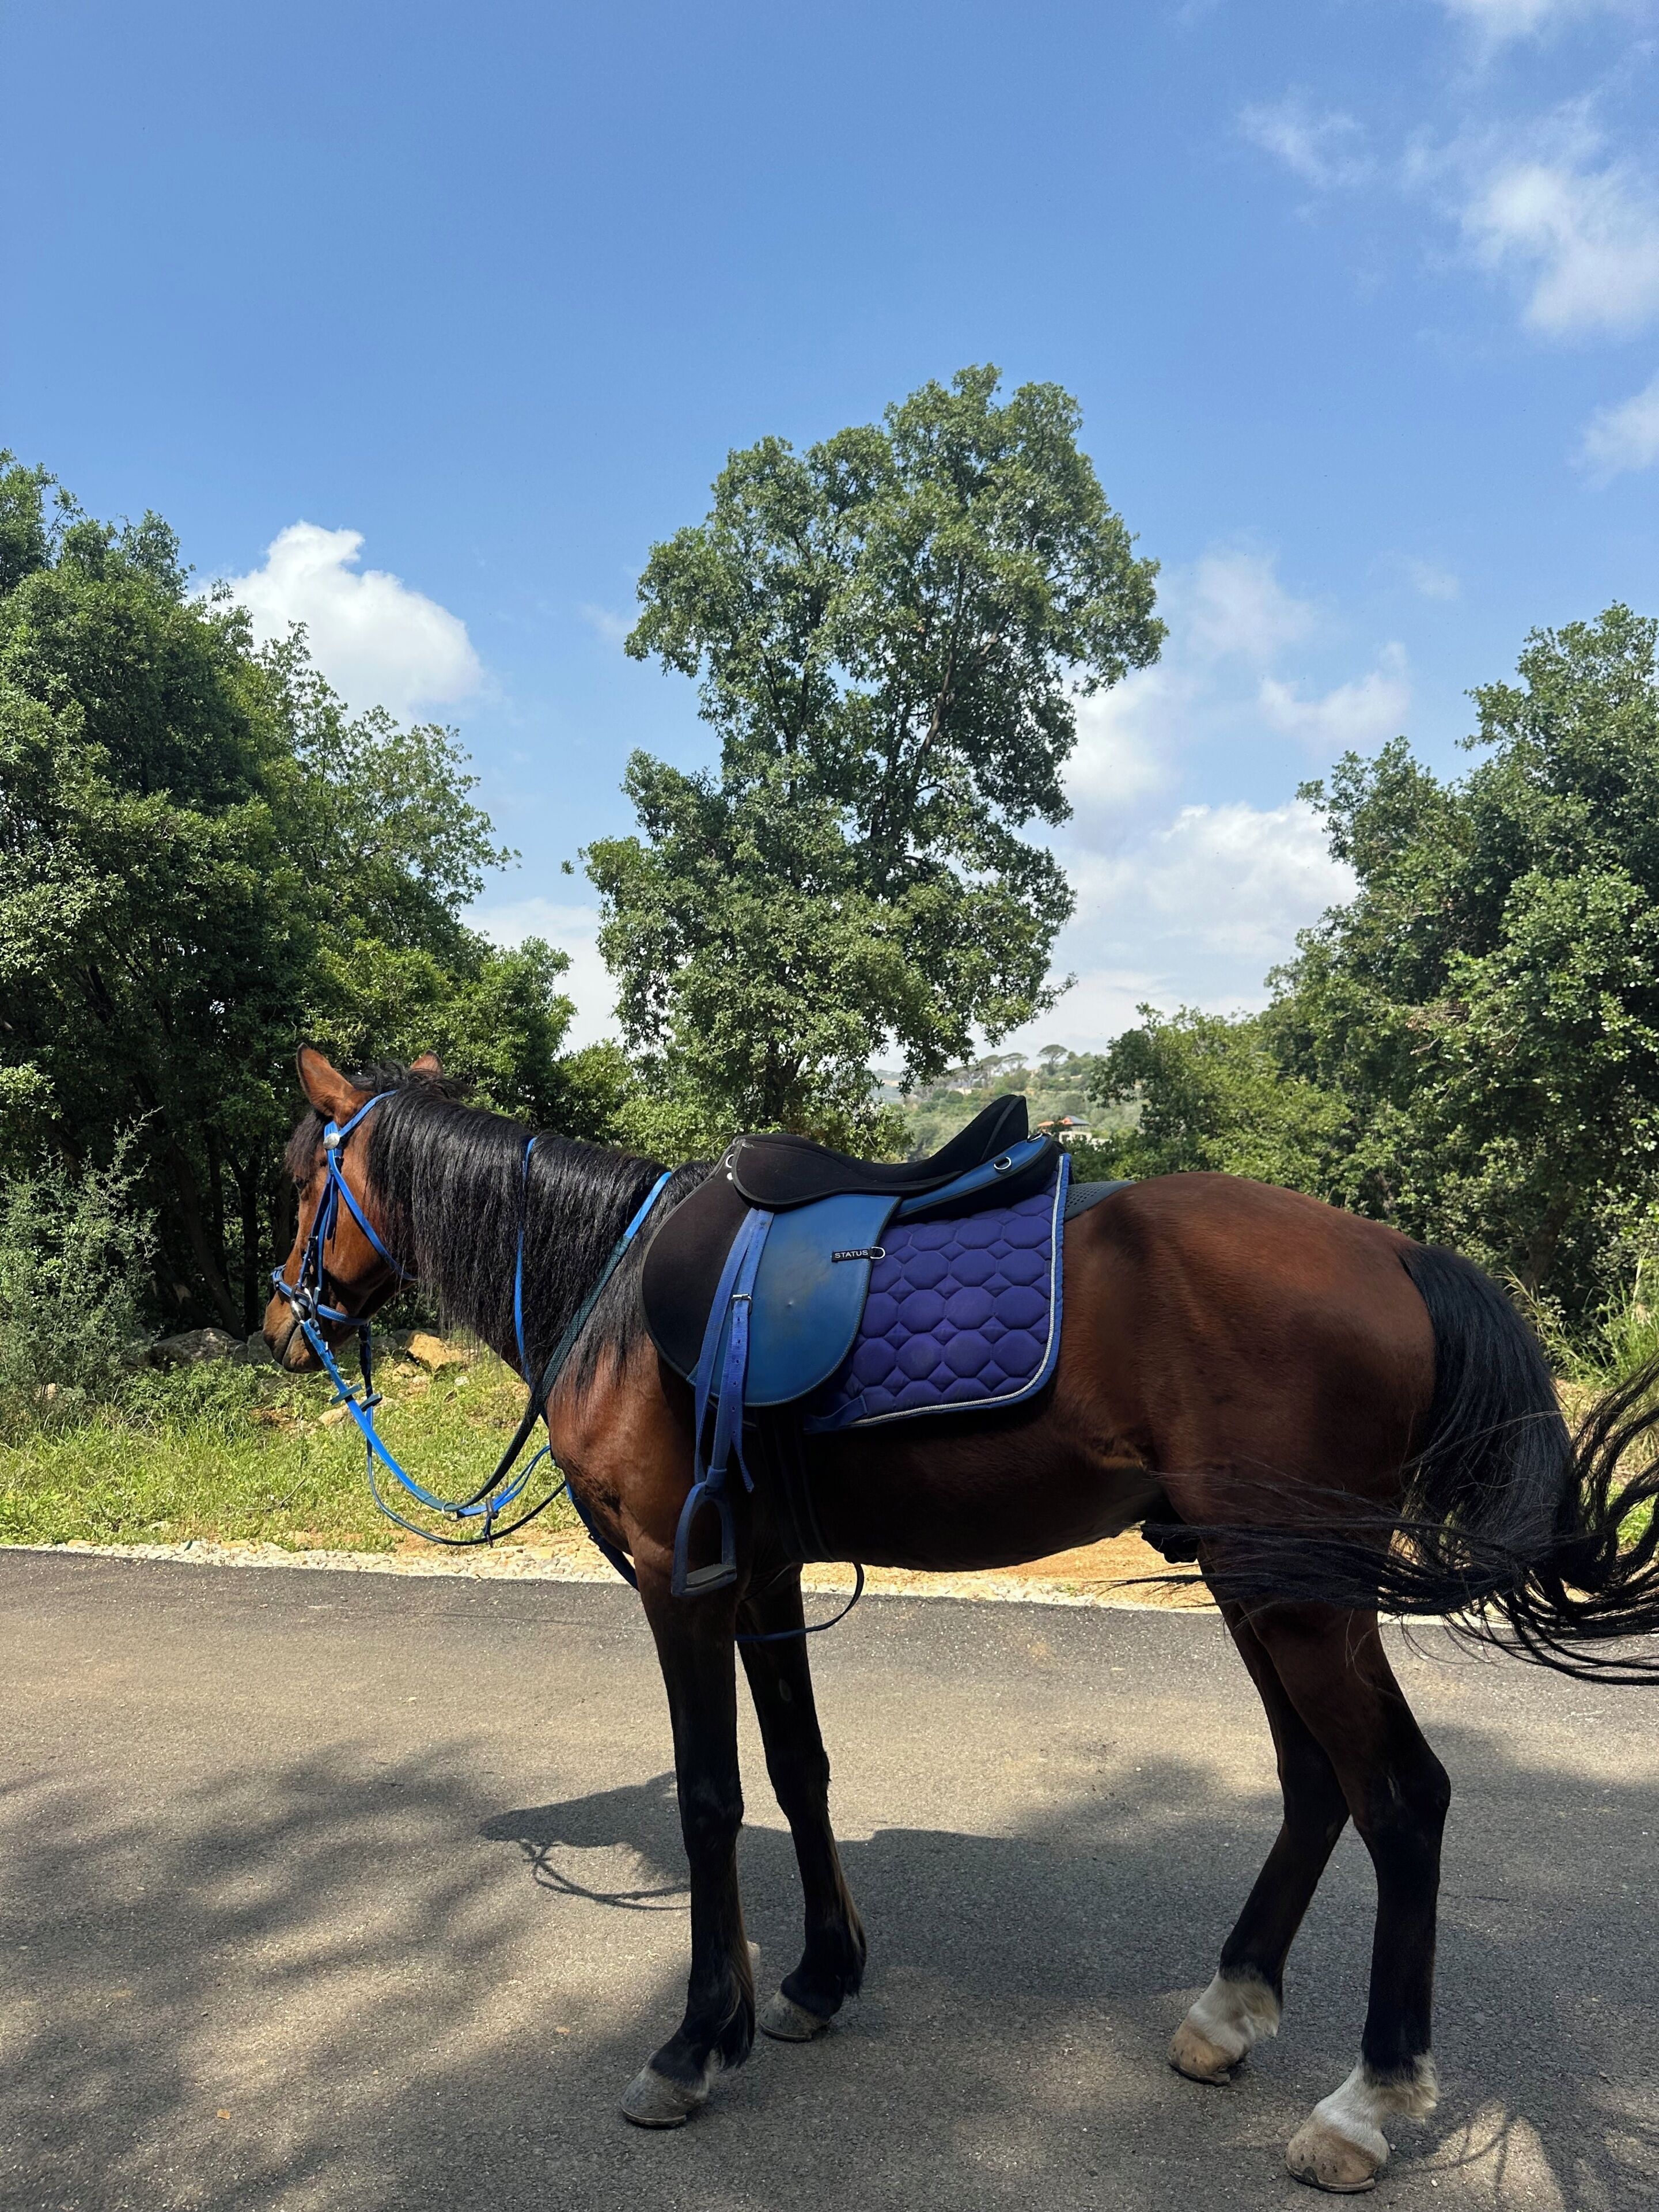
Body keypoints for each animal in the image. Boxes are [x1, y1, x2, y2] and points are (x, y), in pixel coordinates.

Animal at [264, 1046, 1659, 2193]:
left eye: (296, 1176)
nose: (283, 1321)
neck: (612, 1300)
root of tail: (1394, 1253)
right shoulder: (765, 1576)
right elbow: (801, 1768)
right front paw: (818, 1980)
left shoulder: (680, 1580)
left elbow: (711, 1796)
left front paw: (696, 2040)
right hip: (1251, 1576)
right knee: (1317, 1782)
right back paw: (1225, 2015)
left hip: (1301, 1591)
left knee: (1403, 1799)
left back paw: (1364, 2107)